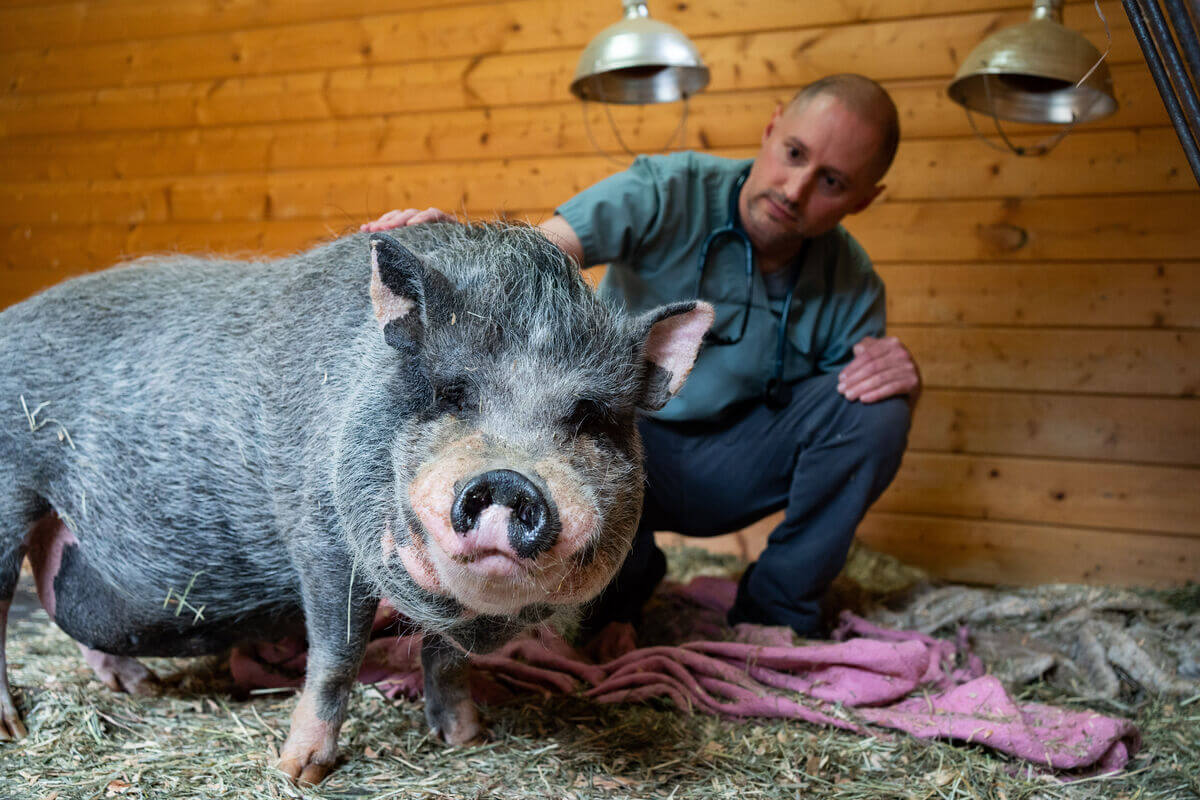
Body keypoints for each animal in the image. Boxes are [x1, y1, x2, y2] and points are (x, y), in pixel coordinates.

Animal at [0, 222, 712, 783]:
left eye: (589, 418)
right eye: (450, 394)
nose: (511, 481)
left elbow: (446, 659)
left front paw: (466, 738)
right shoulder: (318, 533)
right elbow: (336, 655)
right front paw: (297, 772)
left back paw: (135, 684)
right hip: (11, 490)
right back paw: (16, 729)